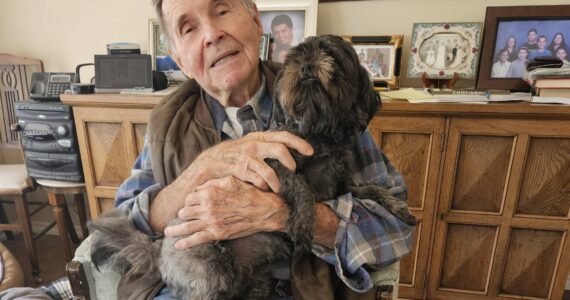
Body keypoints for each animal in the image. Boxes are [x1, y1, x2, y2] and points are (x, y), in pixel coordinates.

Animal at [89, 34, 412, 300]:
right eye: (295, 58)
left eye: (331, 54)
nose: (307, 66)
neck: (319, 132)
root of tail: (158, 253)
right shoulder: (271, 163)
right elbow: (302, 186)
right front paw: (303, 223)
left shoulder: (339, 185)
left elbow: (371, 189)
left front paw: (398, 207)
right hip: (208, 275)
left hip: (254, 278)